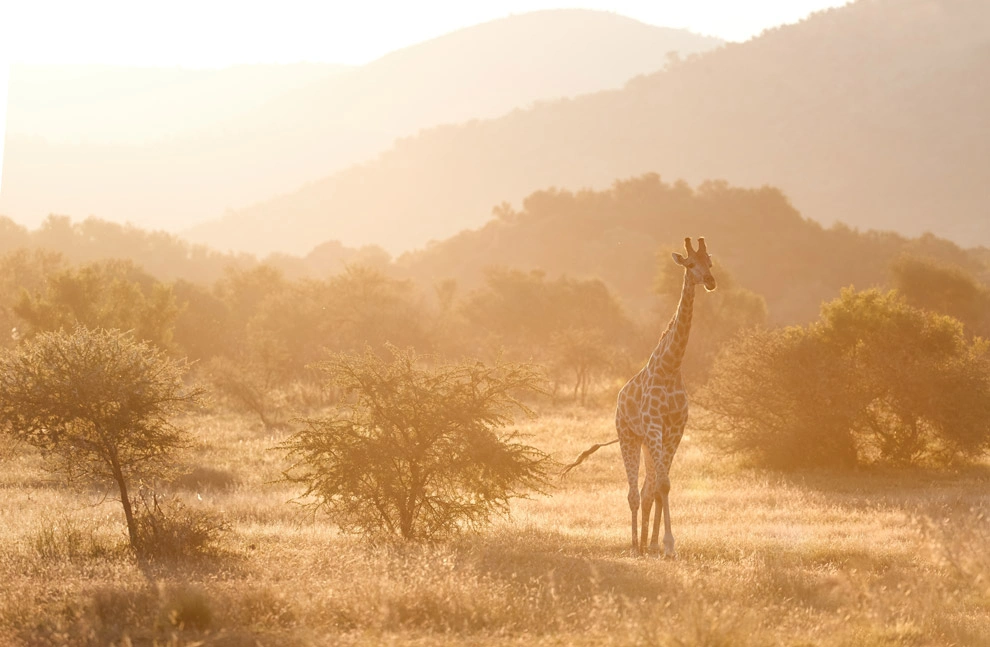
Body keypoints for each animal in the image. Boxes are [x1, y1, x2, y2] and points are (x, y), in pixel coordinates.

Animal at [563, 237, 716, 557]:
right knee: (633, 493)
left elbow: (661, 486)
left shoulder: (674, 429)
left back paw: (646, 543)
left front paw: (660, 543)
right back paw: (635, 545)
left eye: (710, 261)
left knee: (646, 490)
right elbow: (662, 485)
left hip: (645, 441)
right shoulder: (655, 426)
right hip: (628, 437)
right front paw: (668, 544)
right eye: (690, 264)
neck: (671, 367)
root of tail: (619, 398)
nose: (710, 281)